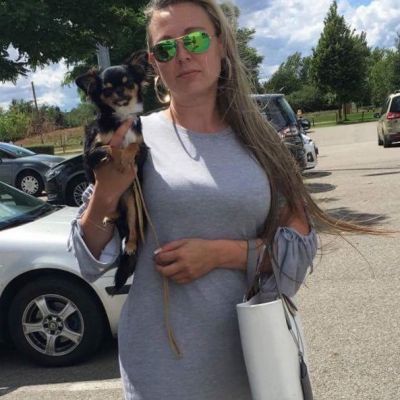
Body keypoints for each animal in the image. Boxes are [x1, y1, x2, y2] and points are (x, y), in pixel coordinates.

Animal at [76, 50, 150, 291]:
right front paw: (119, 159)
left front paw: (125, 156)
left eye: (128, 83)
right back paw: (110, 217)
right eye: (106, 89)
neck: (121, 119)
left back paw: (131, 243)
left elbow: (133, 145)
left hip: (132, 200)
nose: (119, 91)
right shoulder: (91, 154)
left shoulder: (143, 150)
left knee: (132, 227)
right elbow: (109, 147)